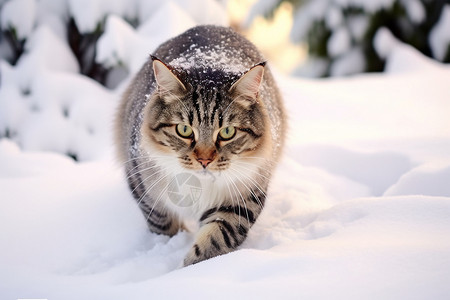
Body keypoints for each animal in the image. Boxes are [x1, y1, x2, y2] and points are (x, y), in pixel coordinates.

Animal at [116, 25, 284, 264]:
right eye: (184, 130)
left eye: (227, 132)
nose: (204, 160)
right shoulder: (142, 183)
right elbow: (162, 223)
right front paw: (171, 247)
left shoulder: (245, 196)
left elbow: (216, 239)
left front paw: (190, 268)